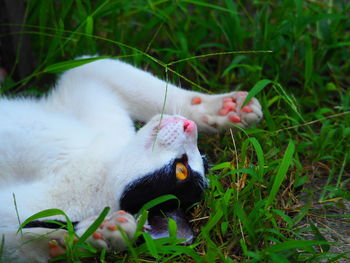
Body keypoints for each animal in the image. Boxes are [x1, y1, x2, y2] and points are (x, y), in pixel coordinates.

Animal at [0, 57, 262, 262]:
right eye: (190, 166)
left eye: (182, 170)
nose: (190, 127)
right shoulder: (92, 89)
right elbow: (95, 65)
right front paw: (222, 108)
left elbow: (17, 243)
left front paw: (86, 236)